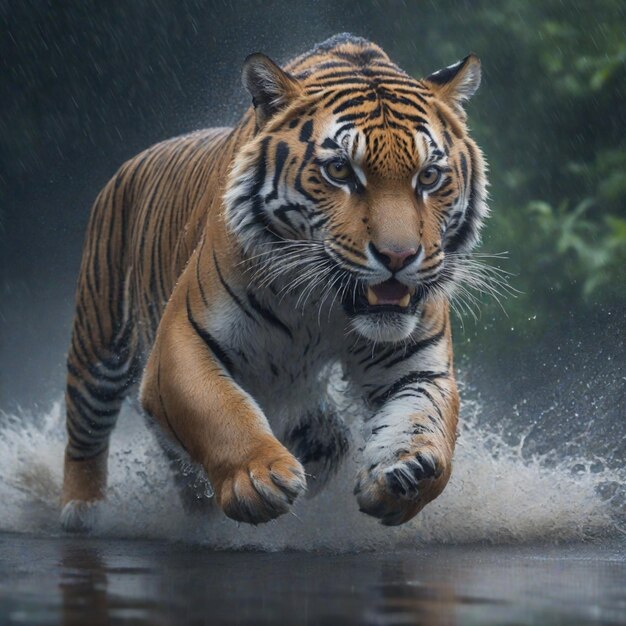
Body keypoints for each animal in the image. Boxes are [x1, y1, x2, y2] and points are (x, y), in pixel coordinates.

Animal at [59, 34, 488, 528]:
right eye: (340, 171)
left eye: (429, 176)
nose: (398, 257)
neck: (326, 307)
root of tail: (128, 164)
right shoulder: (182, 340)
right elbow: (219, 409)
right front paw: (259, 477)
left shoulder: (417, 360)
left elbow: (425, 419)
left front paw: (408, 473)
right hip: (99, 347)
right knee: (86, 430)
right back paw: (82, 511)